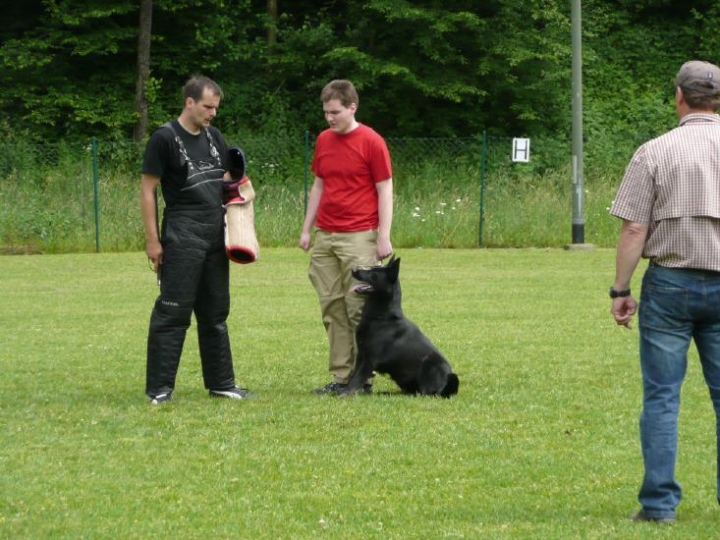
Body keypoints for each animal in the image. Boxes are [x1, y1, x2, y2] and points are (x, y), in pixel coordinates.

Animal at [344, 255, 462, 398]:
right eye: (372, 268)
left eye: (373, 274)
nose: (353, 269)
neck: (383, 317)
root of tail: (447, 386)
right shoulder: (361, 356)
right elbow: (353, 376)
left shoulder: (370, 360)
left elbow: (357, 379)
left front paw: (344, 395)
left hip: (429, 363)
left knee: (426, 393)